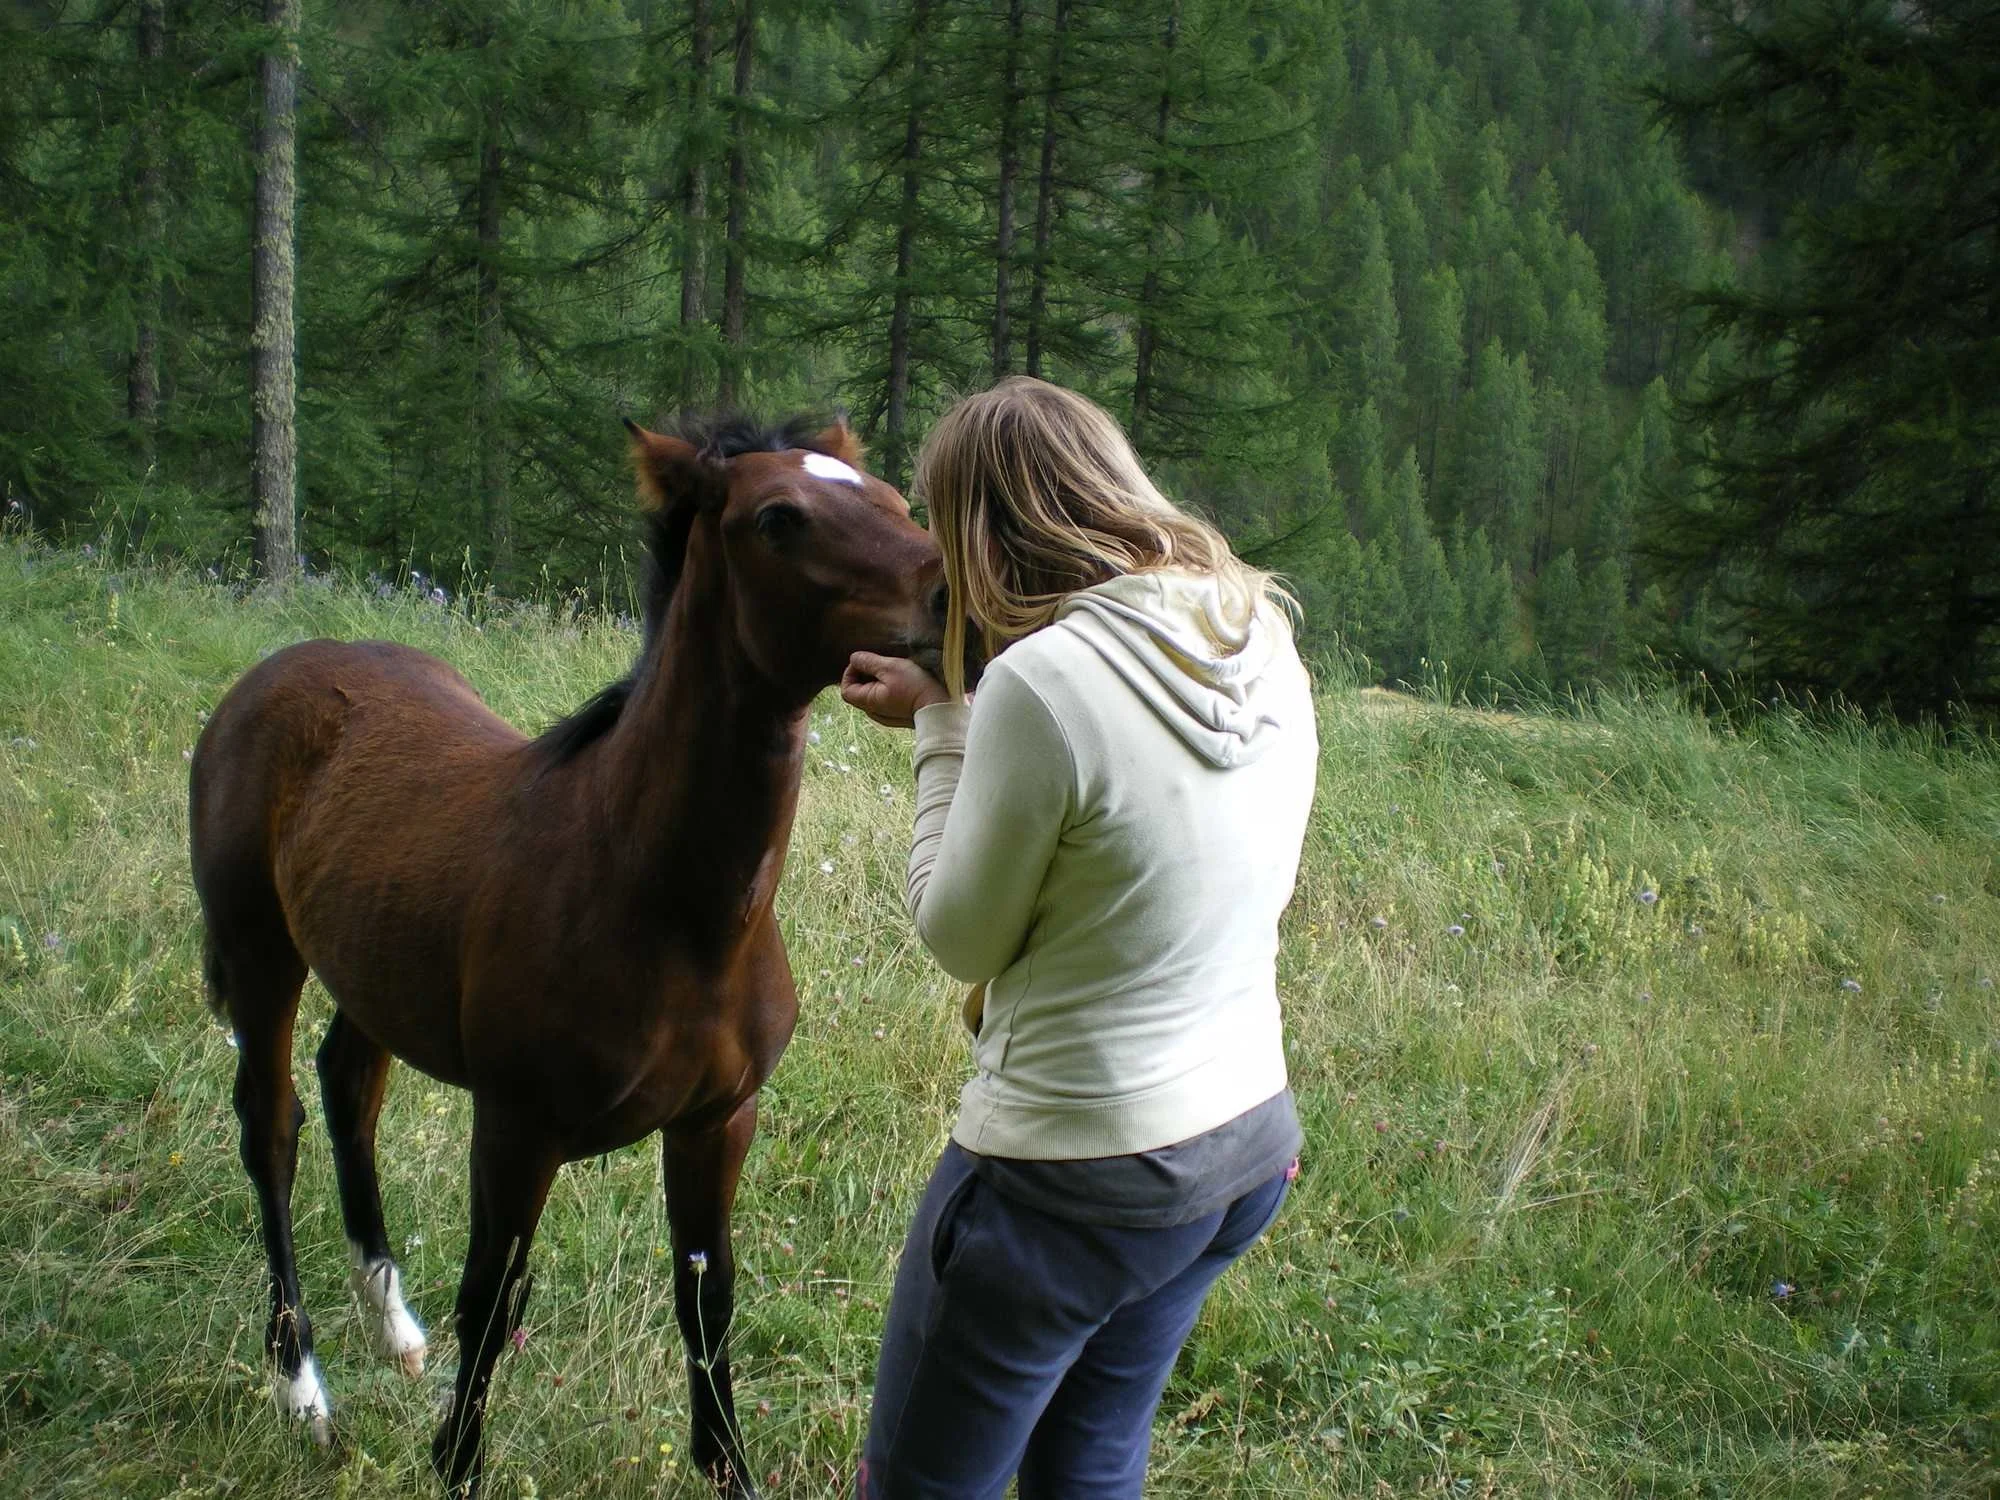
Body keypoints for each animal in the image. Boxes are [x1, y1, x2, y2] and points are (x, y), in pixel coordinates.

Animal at [188, 416, 948, 1499]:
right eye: (777, 518)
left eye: (889, 497)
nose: (948, 597)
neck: (665, 906)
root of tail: (273, 671)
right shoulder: (517, 1127)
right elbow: (492, 1296)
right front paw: (456, 1465)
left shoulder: (719, 1120)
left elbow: (707, 1300)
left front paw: (727, 1468)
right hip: (259, 950)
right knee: (272, 1128)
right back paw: (304, 1390)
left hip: (371, 963)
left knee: (349, 1089)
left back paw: (392, 1326)